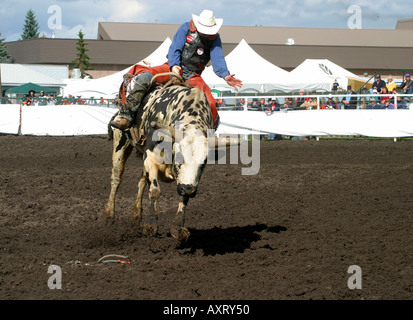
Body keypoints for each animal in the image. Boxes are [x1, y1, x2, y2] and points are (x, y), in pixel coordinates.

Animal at [103, 84, 214, 241]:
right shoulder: (150, 158)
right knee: (116, 178)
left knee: (142, 183)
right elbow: (155, 190)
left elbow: (182, 197)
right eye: (179, 156)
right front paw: (151, 225)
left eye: (203, 162)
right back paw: (108, 215)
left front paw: (177, 227)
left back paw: (136, 215)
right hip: (120, 143)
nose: (188, 189)